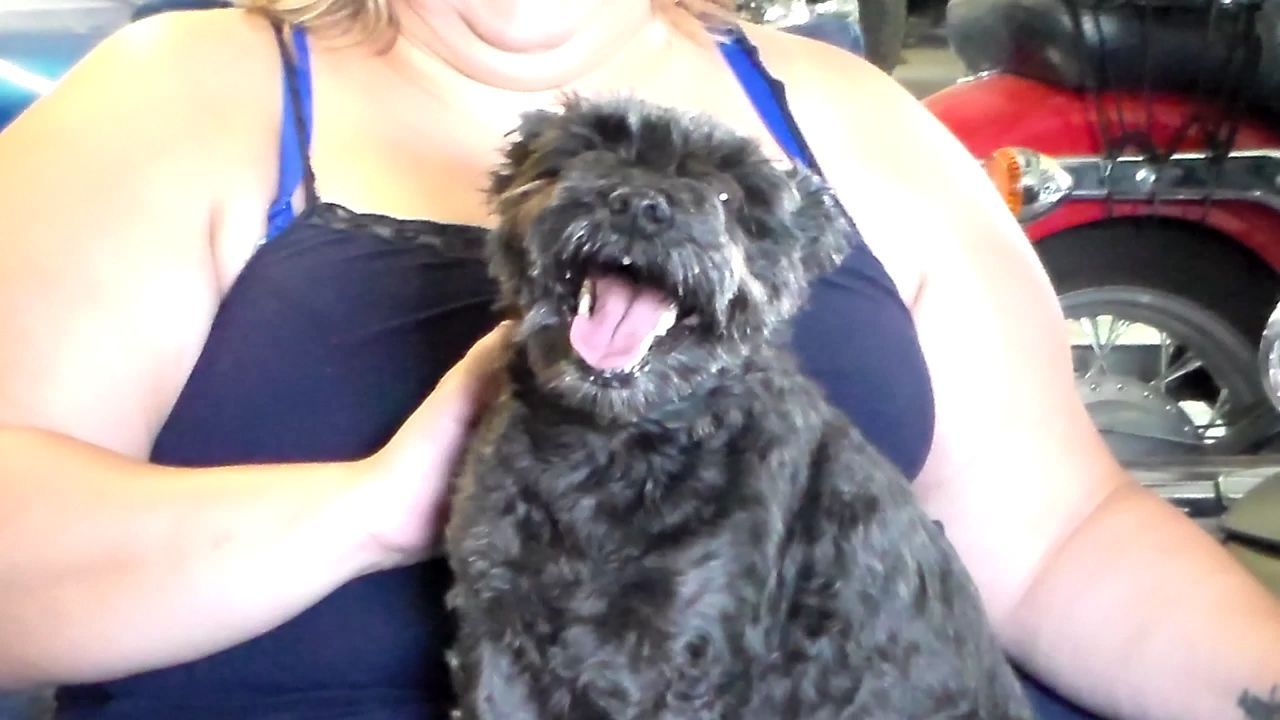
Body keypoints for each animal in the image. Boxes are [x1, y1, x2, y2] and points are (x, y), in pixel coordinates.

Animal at [444, 95, 1034, 720]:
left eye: (729, 196)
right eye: (589, 147)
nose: (640, 205)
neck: (610, 445)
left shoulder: (679, 651)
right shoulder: (496, 620)